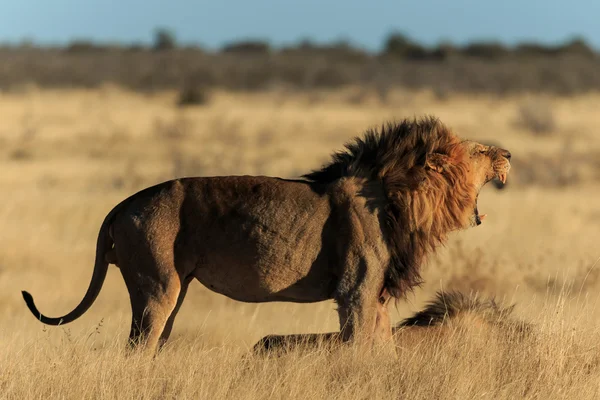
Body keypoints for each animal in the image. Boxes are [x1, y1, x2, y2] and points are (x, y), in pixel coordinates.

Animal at [22, 116, 510, 354]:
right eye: (480, 150)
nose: (507, 152)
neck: (401, 197)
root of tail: (122, 205)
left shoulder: (379, 295)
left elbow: (385, 350)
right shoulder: (356, 290)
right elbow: (357, 348)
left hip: (174, 289)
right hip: (155, 286)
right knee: (137, 348)